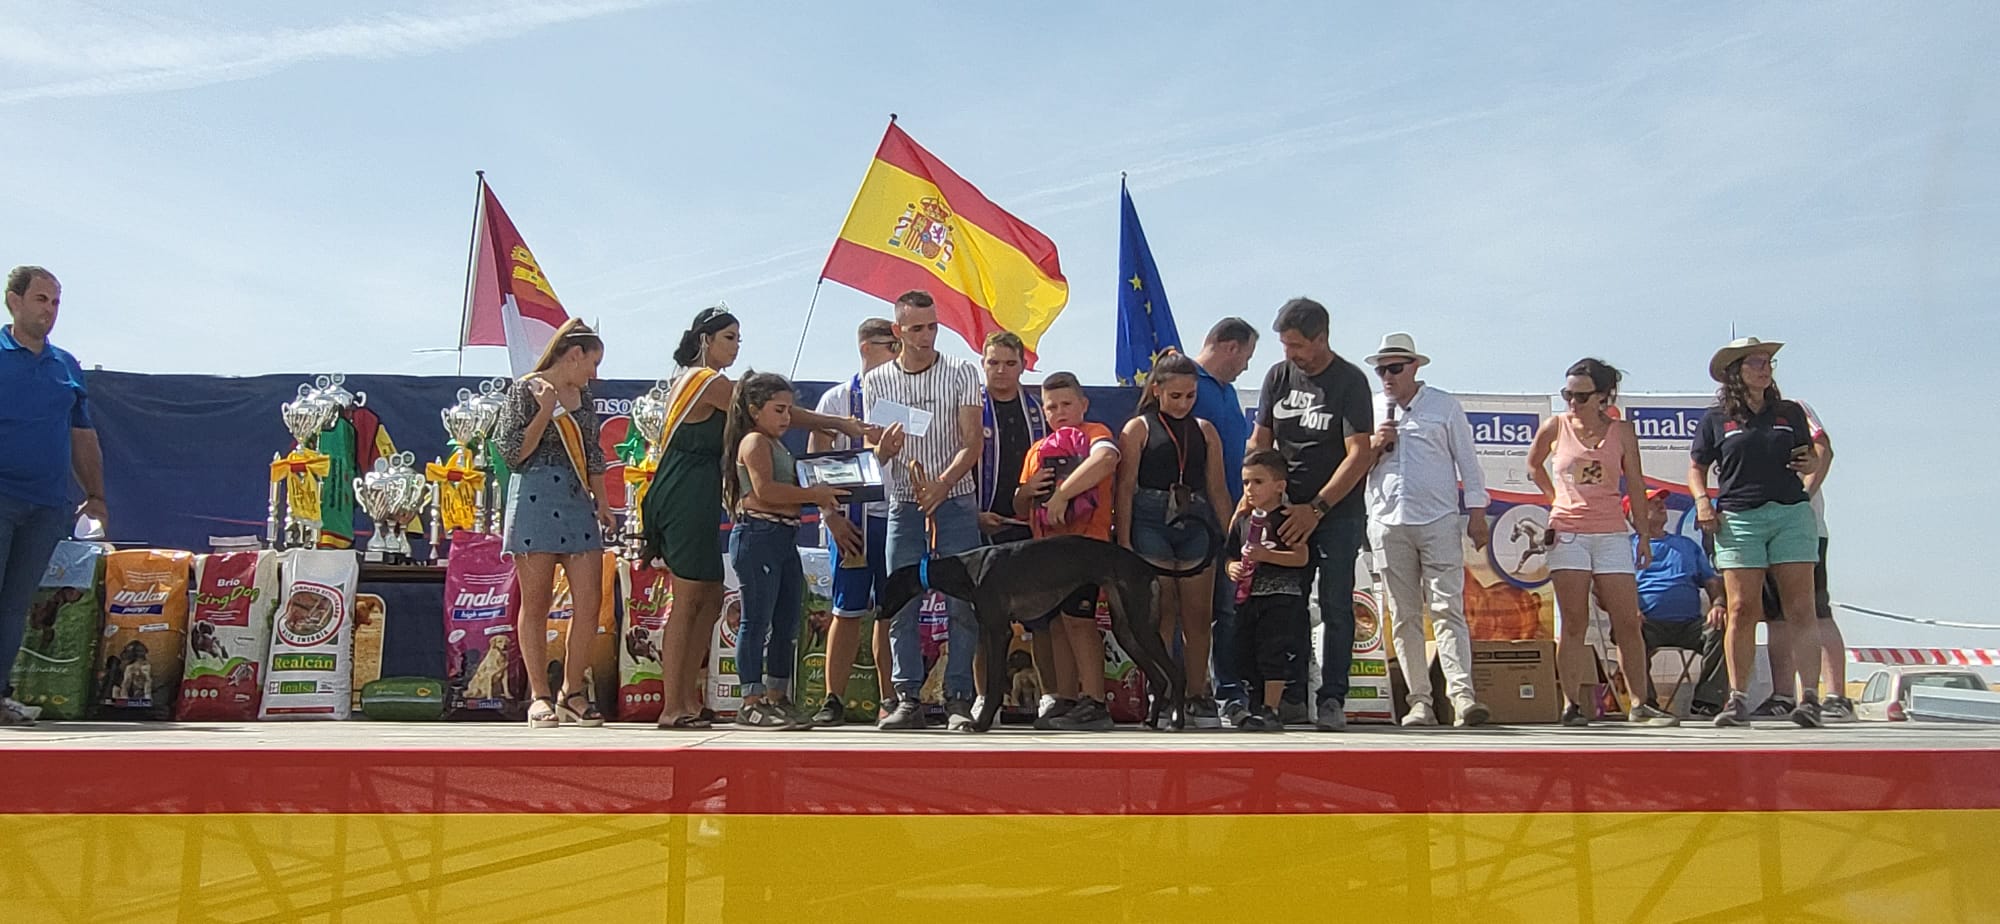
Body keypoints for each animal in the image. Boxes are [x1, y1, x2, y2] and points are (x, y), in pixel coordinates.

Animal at [880, 528, 1214, 732]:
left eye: (887, 587)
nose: (879, 613)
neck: (968, 567)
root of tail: (1143, 563)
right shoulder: (989, 630)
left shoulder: (998, 631)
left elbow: (994, 684)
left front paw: (981, 723)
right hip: (1126, 630)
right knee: (1158, 678)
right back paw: (1151, 721)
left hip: (1142, 625)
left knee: (1176, 674)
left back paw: (1176, 721)